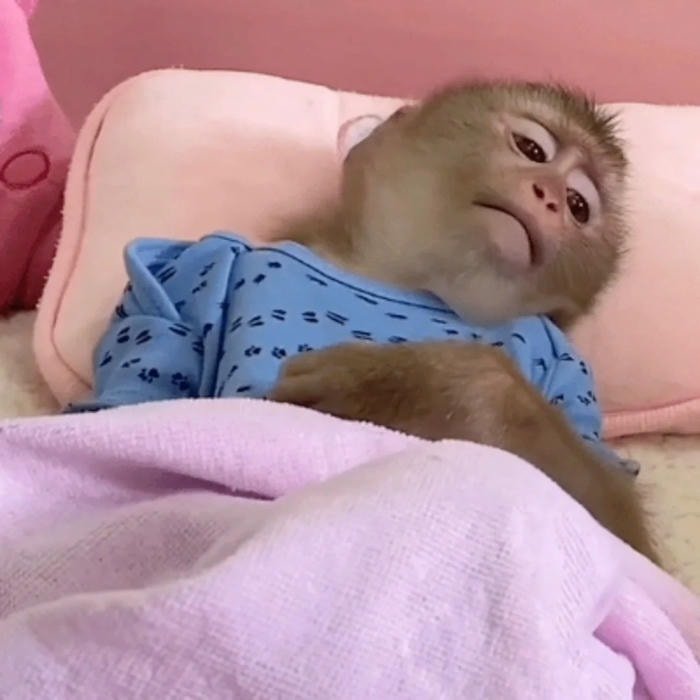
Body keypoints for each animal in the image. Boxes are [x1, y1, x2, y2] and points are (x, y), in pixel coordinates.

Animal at [73, 80, 659, 565]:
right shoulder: (187, 271)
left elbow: (620, 539)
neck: (404, 280)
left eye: (580, 206)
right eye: (532, 149)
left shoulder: (566, 362)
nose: (553, 198)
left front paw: (417, 384)